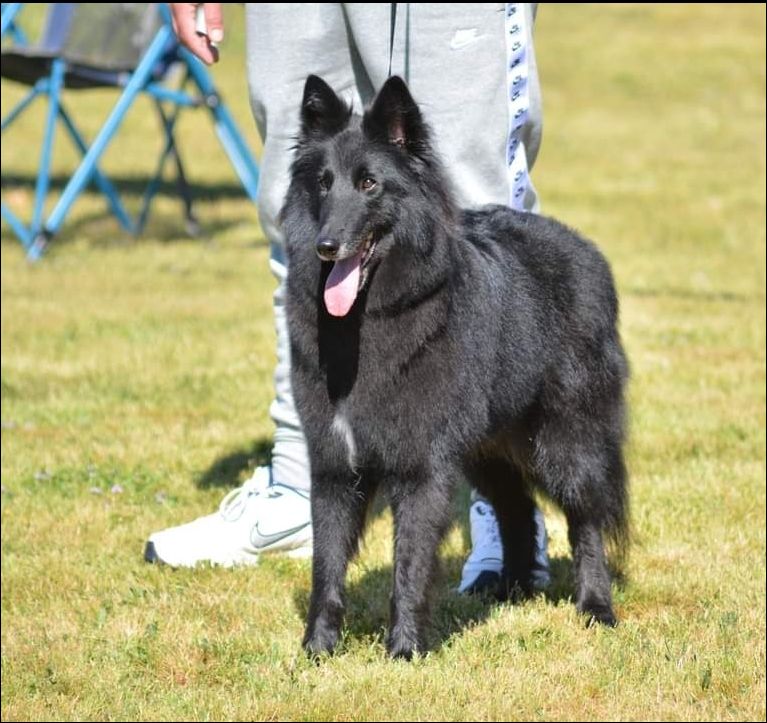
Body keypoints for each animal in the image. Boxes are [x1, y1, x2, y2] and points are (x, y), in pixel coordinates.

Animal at [281, 75, 629, 659]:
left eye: (369, 184)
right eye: (323, 184)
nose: (327, 245)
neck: (368, 322)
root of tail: (586, 249)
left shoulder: (423, 467)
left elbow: (410, 563)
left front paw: (403, 651)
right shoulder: (334, 465)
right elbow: (325, 565)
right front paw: (317, 650)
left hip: (567, 438)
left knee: (586, 522)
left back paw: (595, 608)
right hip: (488, 448)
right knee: (516, 510)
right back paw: (509, 591)